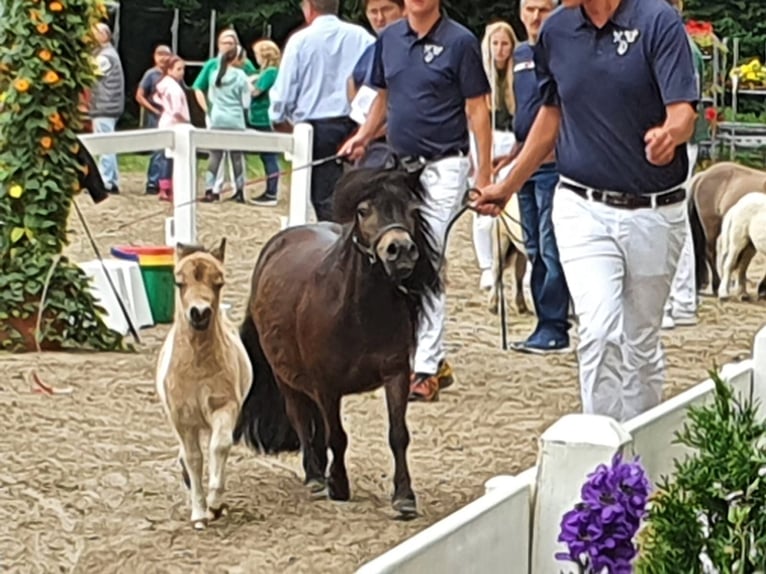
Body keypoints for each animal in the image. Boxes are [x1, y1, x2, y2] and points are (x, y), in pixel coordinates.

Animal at [155, 238, 252, 532]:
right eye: (179, 282)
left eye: (219, 282)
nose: (199, 313)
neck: (197, 368)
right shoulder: (183, 420)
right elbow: (194, 458)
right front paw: (199, 513)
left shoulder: (224, 408)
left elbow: (219, 447)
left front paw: (214, 505)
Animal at [232, 165, 444, 516]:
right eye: (363, 210)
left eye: (413, 210)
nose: (400, 250)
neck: (358, 313)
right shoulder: (326, 385)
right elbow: (338, 436)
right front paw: (339, 485)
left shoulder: (396, 374)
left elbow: (397, 434)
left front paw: (404, 497)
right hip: (286, 377)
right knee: (301, 418)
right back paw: (316, 476)